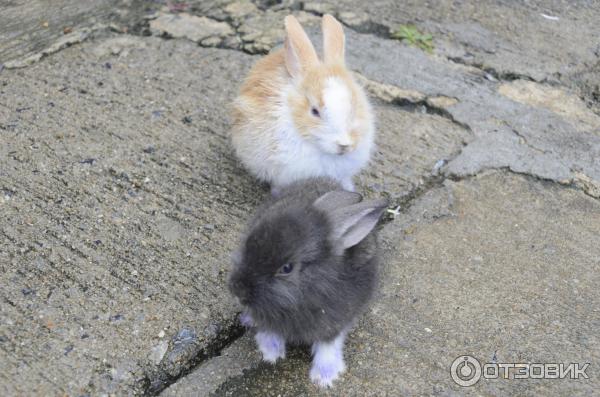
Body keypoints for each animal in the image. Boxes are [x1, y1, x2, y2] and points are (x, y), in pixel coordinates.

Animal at [227, 177, 386, 386]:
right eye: (248, 245)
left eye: (286, 268)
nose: (237, 290)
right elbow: (268, 328)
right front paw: (271, 353)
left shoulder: (336, 321)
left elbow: (329, 343)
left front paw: (324, 378)